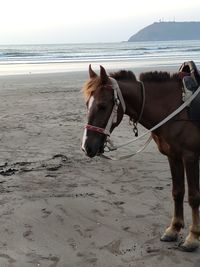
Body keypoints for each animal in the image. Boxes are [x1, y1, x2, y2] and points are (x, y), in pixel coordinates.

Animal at [81, 63, 200, 252]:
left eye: (102, 106)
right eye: (87, 104)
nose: (87, 146)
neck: (175, 108)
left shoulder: (190, 157)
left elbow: (194, 197)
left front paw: (193, 237)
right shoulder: (173, 157)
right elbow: (177, 192)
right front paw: (173, 229)